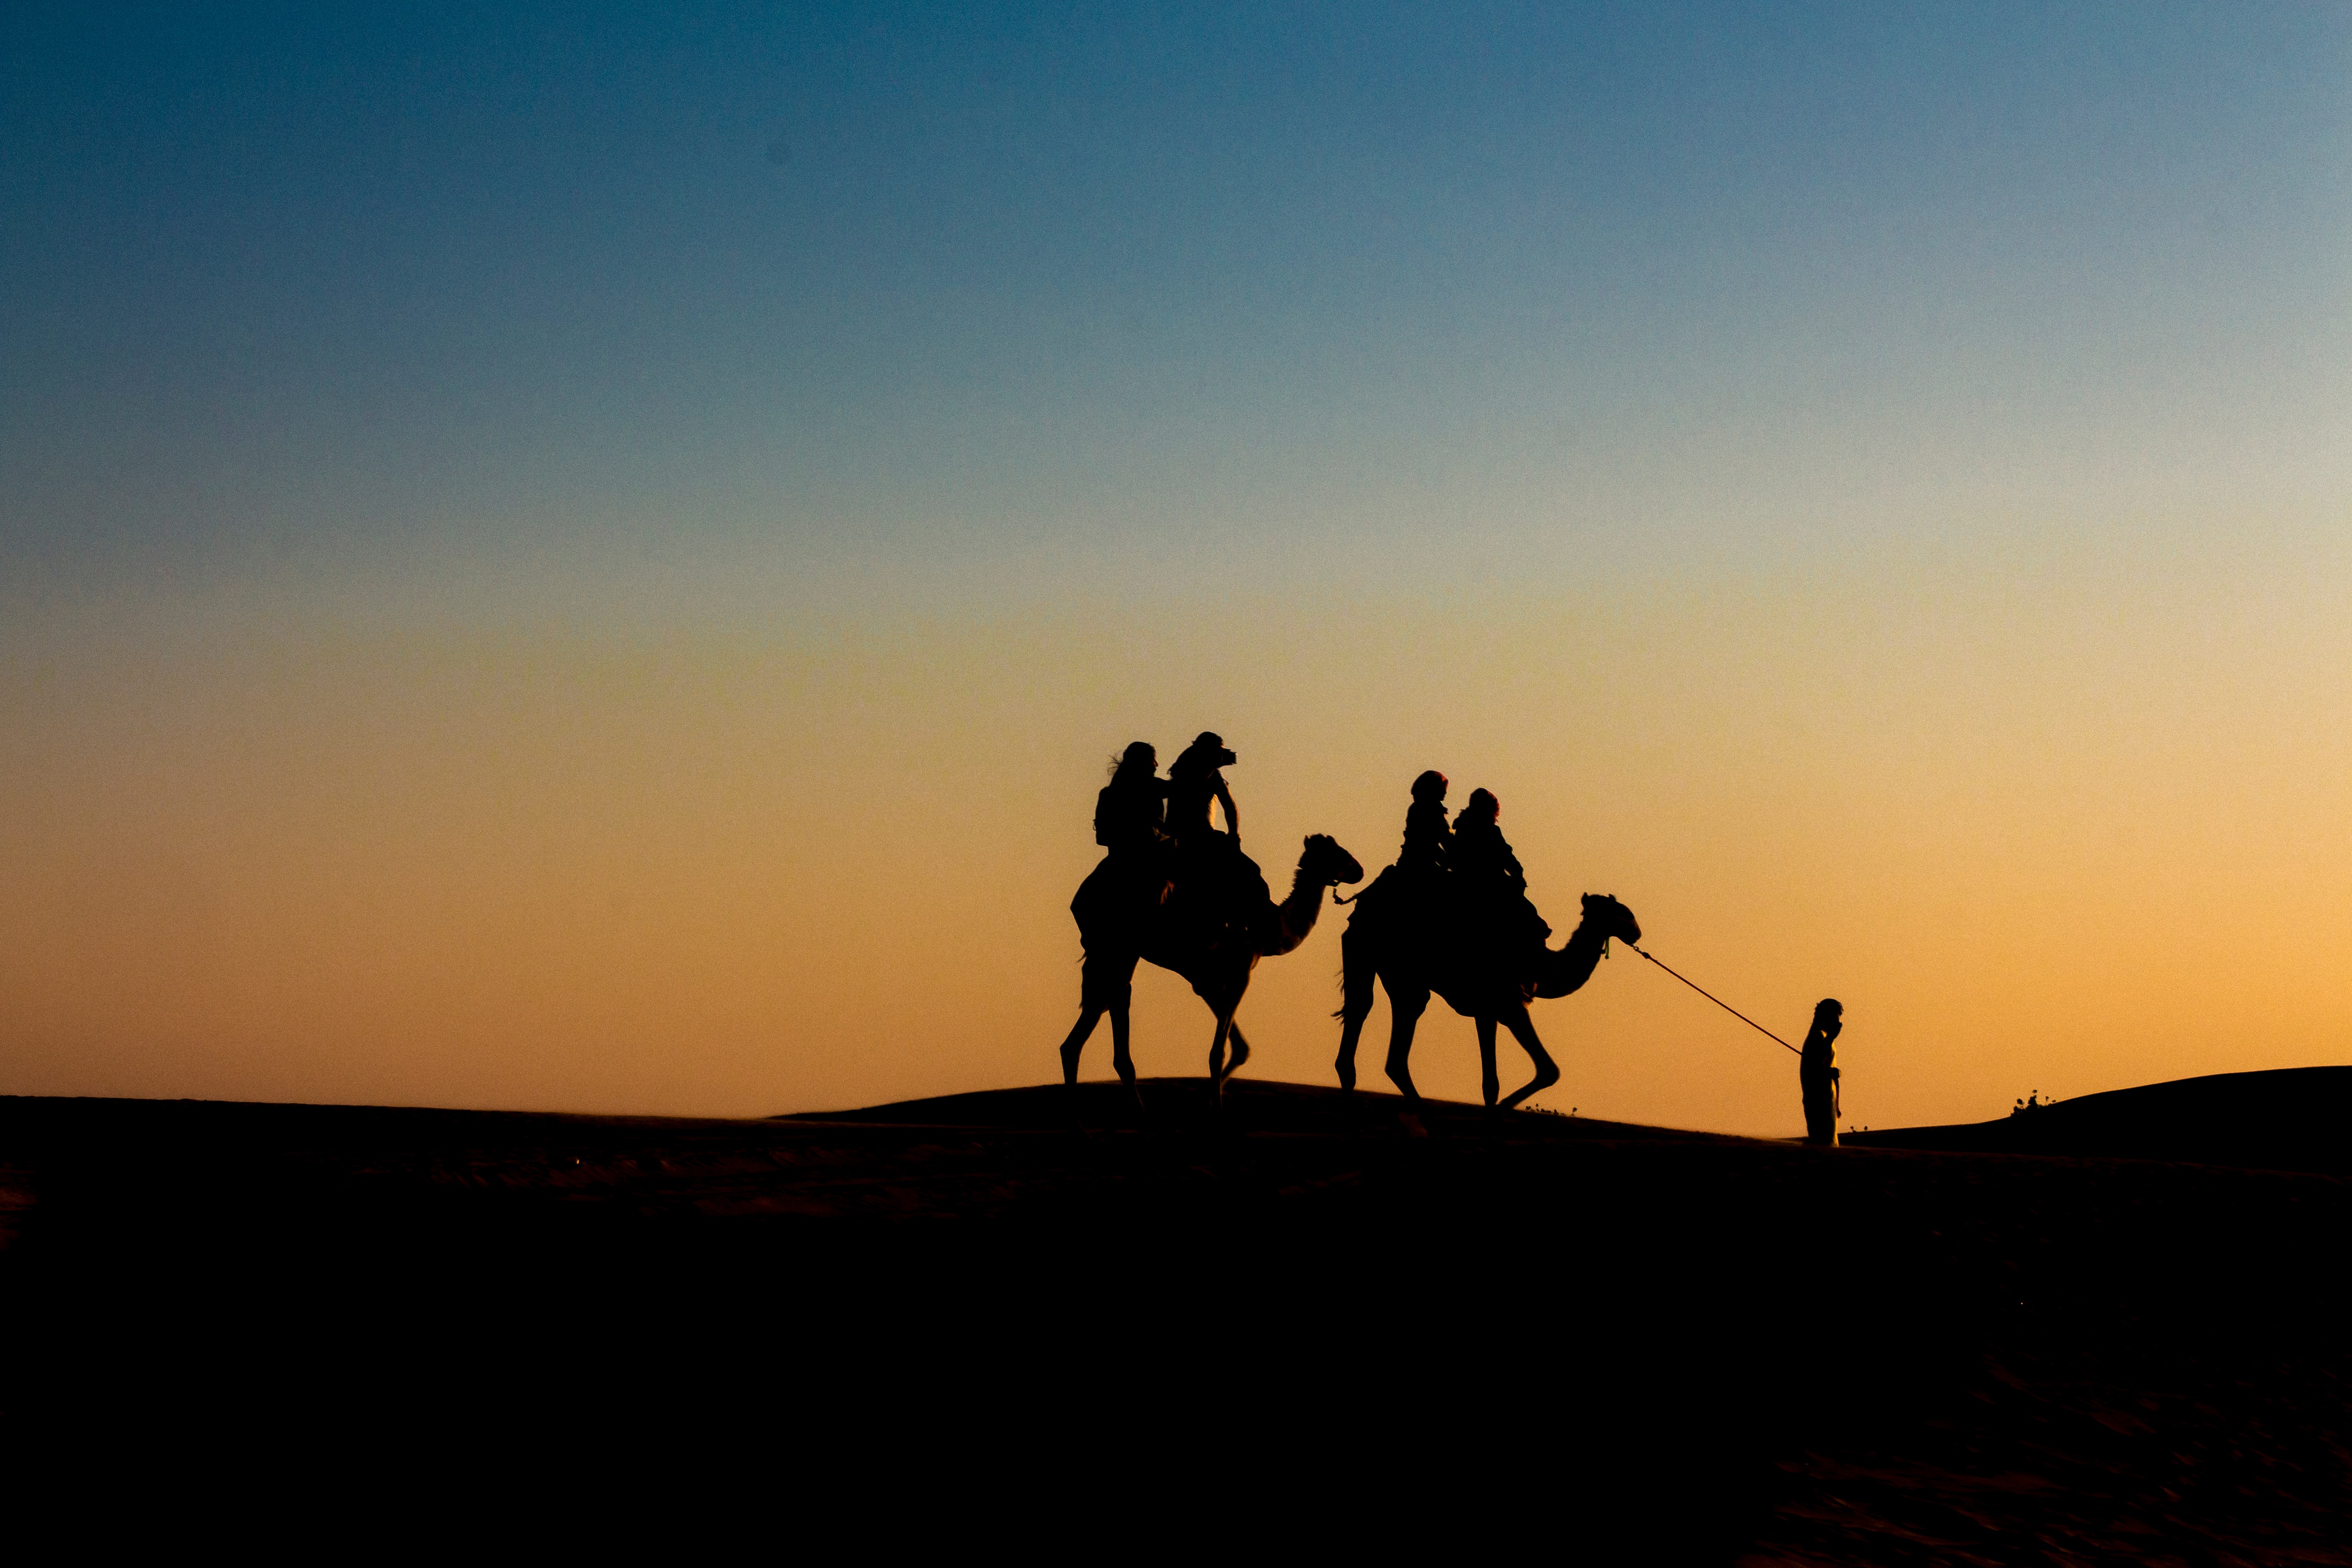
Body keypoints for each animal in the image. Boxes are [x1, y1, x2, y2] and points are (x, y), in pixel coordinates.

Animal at [1063, 832, 1373, 1105]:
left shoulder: (1205, 980)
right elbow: (1218, 1052)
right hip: (1121, 948)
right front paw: (1216, 1106)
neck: (1271, 926)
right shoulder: (1242, 971)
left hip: (1115, 953)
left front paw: (1210, 1100)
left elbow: (1240, 1048)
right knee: (1089, 1031)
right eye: (1337, 852)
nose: (1359, 870)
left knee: (1094, 1027)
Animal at [1336, 879, 1646, 1109]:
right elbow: (1546, 1071)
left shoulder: (1487, 1011)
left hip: (1364, 950)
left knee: (1362, 1007)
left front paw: (1496, 1108)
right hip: (1399, 968)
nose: (1637, 932)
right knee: (1396, 1020)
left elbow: (1490, 1083)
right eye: (1621, 911)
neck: (1542, 965)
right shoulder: (1509, 1004)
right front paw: (1503, 1109)